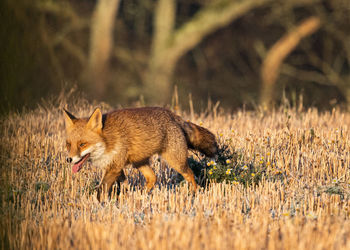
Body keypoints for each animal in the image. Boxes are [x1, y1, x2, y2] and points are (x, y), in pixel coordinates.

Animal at [62, 107, 216, 201]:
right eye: (68, 144)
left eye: (82, 144)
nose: (69, 159)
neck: (107, 141)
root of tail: (172, 115)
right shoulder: (117, 167)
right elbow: (124, 185)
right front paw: (124, 199)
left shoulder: (114, 167)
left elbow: (101, 190)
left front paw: (99, 205)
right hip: (140, 162)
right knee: (153, 177)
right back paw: (141, 196)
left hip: (177, 162)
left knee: (190, 175)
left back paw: (194, 194)